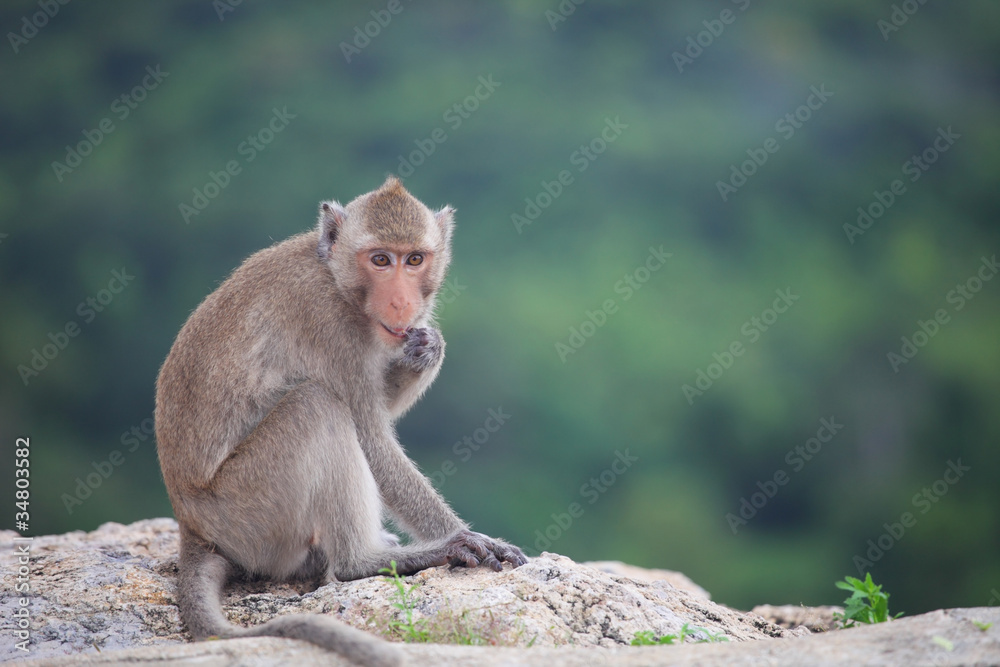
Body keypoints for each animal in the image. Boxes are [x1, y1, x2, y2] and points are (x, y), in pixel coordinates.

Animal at [154, 177, 524, 667]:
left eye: (415, 259)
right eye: (380, 260)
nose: (402, 302)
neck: (338, 281)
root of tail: (192, 530)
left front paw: (426, 349)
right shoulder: (329, 324)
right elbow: (370, 435)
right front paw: (462, 536)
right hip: (245, 511)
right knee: (317, 406)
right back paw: (364, 561)